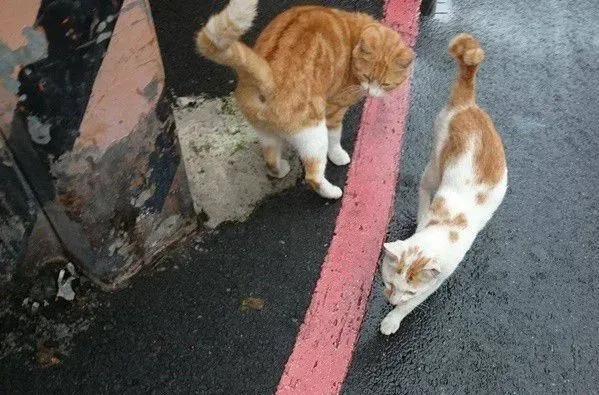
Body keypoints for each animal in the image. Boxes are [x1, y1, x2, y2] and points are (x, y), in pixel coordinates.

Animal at [197, 0, 412, 198]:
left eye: (385, 84)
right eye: (367, 77)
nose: (372, 93)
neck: (354, 32)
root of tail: (268, 77)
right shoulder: (334, 109)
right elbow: (335, 137)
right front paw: (338, 155)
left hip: (266, 133)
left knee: (270, 160)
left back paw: (281, 170)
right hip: (314, 133)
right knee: (313, 177)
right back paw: (332, 192)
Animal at [380, 34, 506, 338]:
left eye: (409, 291)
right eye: (388, 283)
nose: (391, 299)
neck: (443, 229)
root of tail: (468, 104)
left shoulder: (438, 280)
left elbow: (413, 305)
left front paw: (393, 319)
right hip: (436, 162)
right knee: (425, 186)